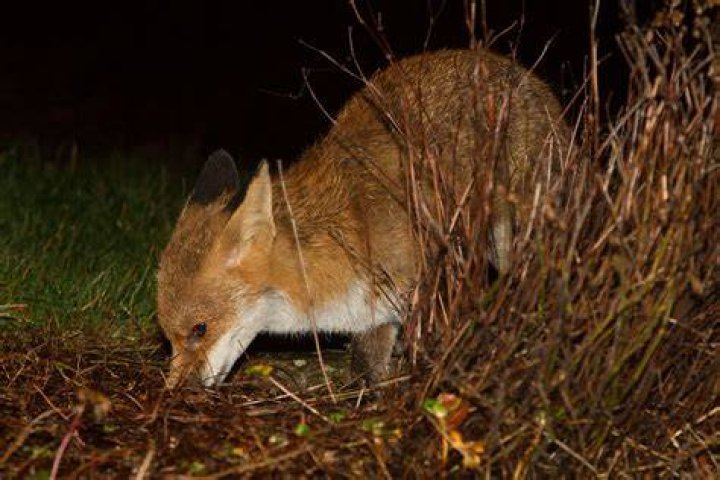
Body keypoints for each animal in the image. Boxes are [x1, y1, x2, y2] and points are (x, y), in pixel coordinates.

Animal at [157, 48, 569, 388]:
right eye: (170, 337)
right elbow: (368, 372)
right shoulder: (376, 315)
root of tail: (529, 78)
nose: (175, 394)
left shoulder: (420, 285)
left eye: (199, 329)